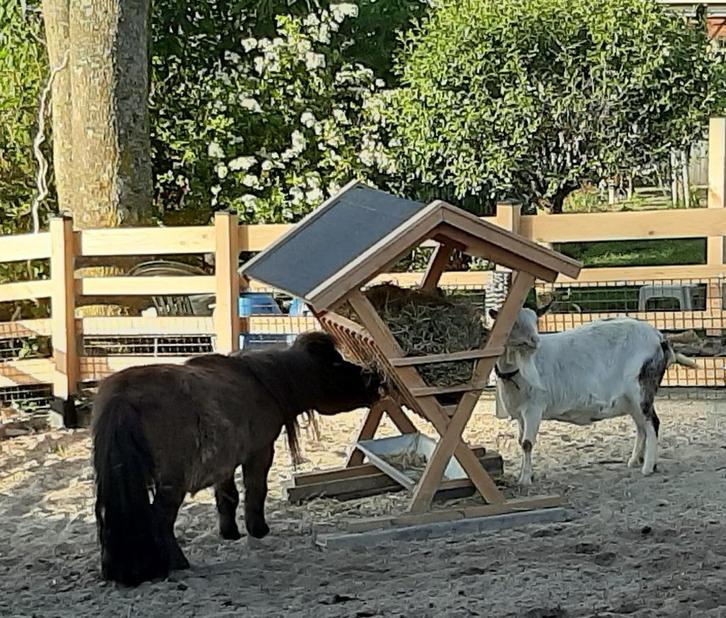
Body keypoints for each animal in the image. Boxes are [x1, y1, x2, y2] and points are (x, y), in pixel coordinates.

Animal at [92, 331, 384, 587]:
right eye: (336, 364)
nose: (376, 377)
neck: (261, 381)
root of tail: (124, 397)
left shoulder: (224, 464)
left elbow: (227, 497)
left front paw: (230, 533)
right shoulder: (260, 452)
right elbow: (256, 490)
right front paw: (258, 529)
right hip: (172, 482)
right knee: (160, 519)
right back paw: (178, 563)